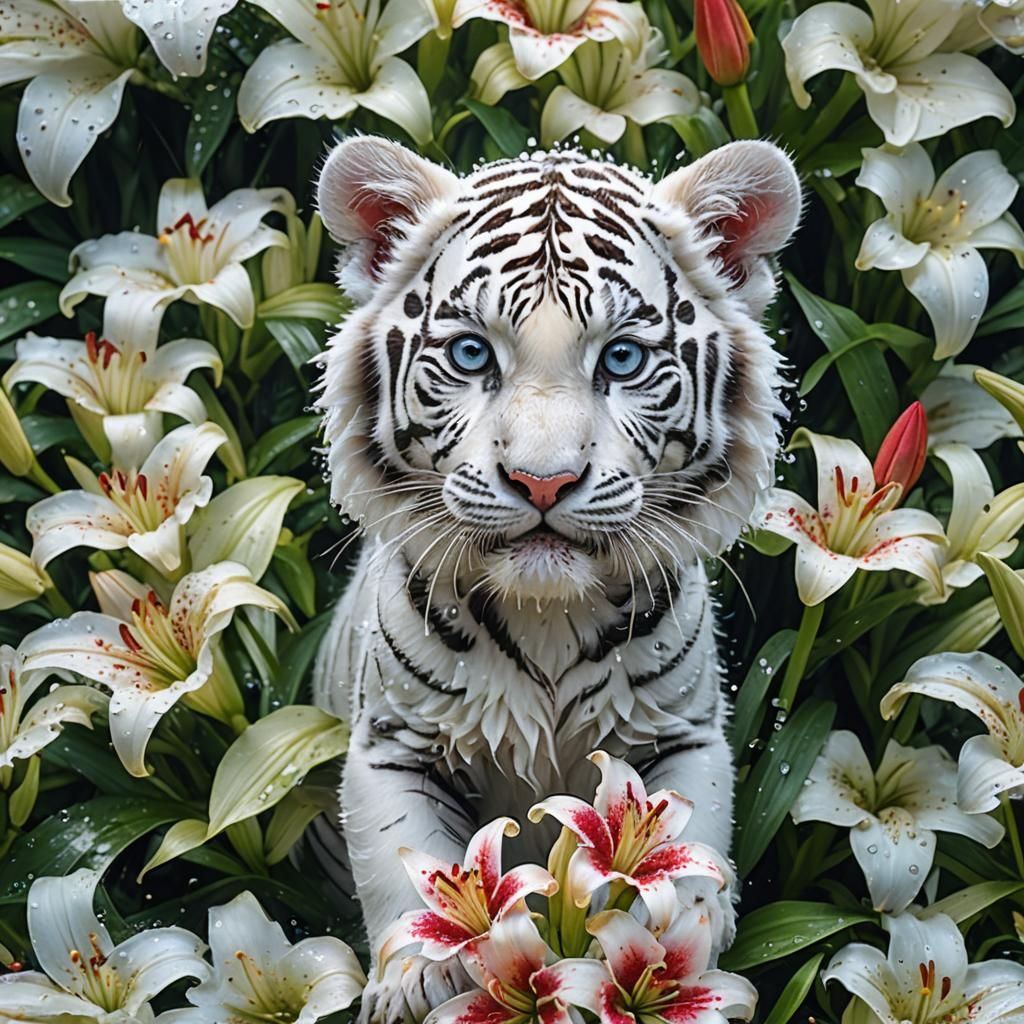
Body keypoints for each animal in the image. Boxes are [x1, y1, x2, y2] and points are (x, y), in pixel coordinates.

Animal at [311, 135, 801, 1023]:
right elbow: (401, 857)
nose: (543, 482)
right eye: (472, 353)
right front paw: (415, 978)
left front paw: (676, 950)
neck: (546, 612)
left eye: (622, 358)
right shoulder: (393, 743)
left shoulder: (683, 735)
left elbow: (690, 847)